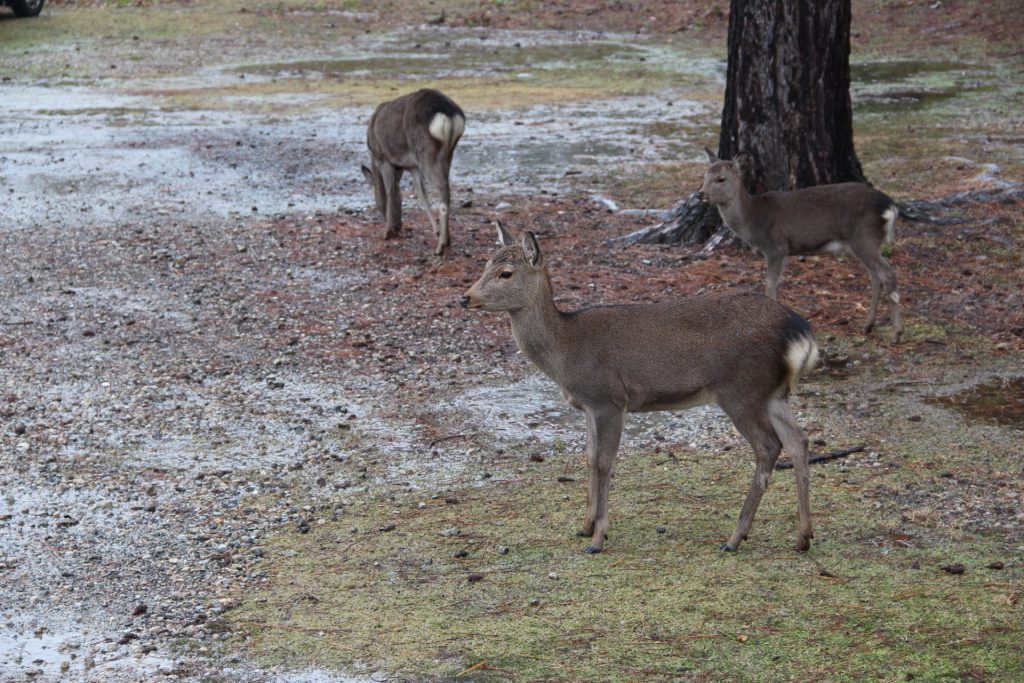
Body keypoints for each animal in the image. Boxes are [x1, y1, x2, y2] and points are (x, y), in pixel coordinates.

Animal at [360, 88, 464, 253]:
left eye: (377, 205)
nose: (398, 226)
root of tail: (448, 114)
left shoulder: (383, 158)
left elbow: (390, 190)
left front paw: (387, 231)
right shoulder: (413, 167)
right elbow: (421, 194)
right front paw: (436, 230)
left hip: (426, 152)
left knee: (443, 188)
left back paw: (441, 245)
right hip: (448, 152)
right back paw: (446, 238)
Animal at [460, 224, 819, 557]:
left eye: (506, 273)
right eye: (485, 265)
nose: (466, 297)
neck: (565, 351)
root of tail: (799, 331)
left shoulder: (609, 399)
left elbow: (605, 462)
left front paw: (598, 538)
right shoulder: (588, 405)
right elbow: (589, 458)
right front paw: (584, 525)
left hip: (741, 390)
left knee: (769, 446)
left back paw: (735, 537)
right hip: (773, 393)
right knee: (798, 441)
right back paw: (803, 536)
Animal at [696, 147, 905, 344]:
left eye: (721, 179)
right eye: (704, 176)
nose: (700, 194)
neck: (753, 221)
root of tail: (890, 207)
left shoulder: (776, 247)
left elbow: (770, 285)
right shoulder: (782, 252)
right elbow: (776, 286)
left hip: (863, 237)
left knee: (887, 273)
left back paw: (896, 333)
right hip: (862, 243)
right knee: (875, 277)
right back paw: (867, 326)